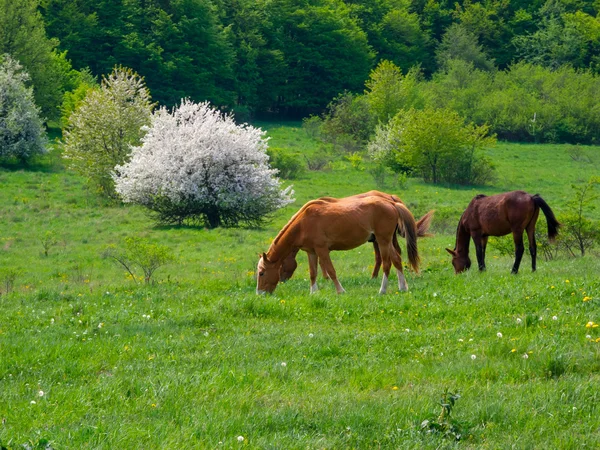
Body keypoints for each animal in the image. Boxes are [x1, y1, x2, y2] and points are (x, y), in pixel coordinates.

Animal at [255, 196, 420, 296]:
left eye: (261, 273)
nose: (260, 293)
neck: (303, 223)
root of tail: (391, 203)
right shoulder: (311, 252)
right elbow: (313, 273)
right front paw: (313, 292)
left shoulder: (322, 250)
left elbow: (331, 271)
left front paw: (340, 291)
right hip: (386, 241)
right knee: (397, 259)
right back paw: (402, 287)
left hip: (383, 241)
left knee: (387, 264)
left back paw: (382, 290)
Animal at [278, 190, 434, 282]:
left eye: (281, 264)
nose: (281, 280)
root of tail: (391, 199)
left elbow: (322, 262)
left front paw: (326, 278)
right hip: (378, 239)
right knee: (384, 256)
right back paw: (376, 277)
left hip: (383, 238)